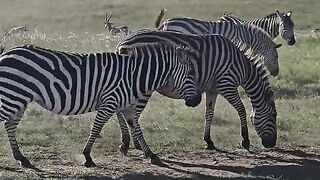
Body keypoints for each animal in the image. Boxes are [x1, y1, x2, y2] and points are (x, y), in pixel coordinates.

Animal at [0, 43, 201, 167]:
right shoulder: (110, 102)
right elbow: (96, 129)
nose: (197, 101)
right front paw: (87, 157)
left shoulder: (126, 106)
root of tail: (6, 52)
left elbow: (136, 128)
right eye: (191, 72)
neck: (134, 76)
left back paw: (21, 158)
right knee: (7, 122)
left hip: (18, 99)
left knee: (10, 125)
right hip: (12, 95)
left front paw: (151, 155)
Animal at [115, 30, 278, 155]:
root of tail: (122, 43)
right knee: (131, 114)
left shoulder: (213, 89)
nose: (272, 144)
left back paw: (127, 143)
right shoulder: (227, 84)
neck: (242, 67)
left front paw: (208, 141)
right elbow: (241, 110)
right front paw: (245, 141)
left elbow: (209, 113)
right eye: (273, 116)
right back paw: (134, 144)